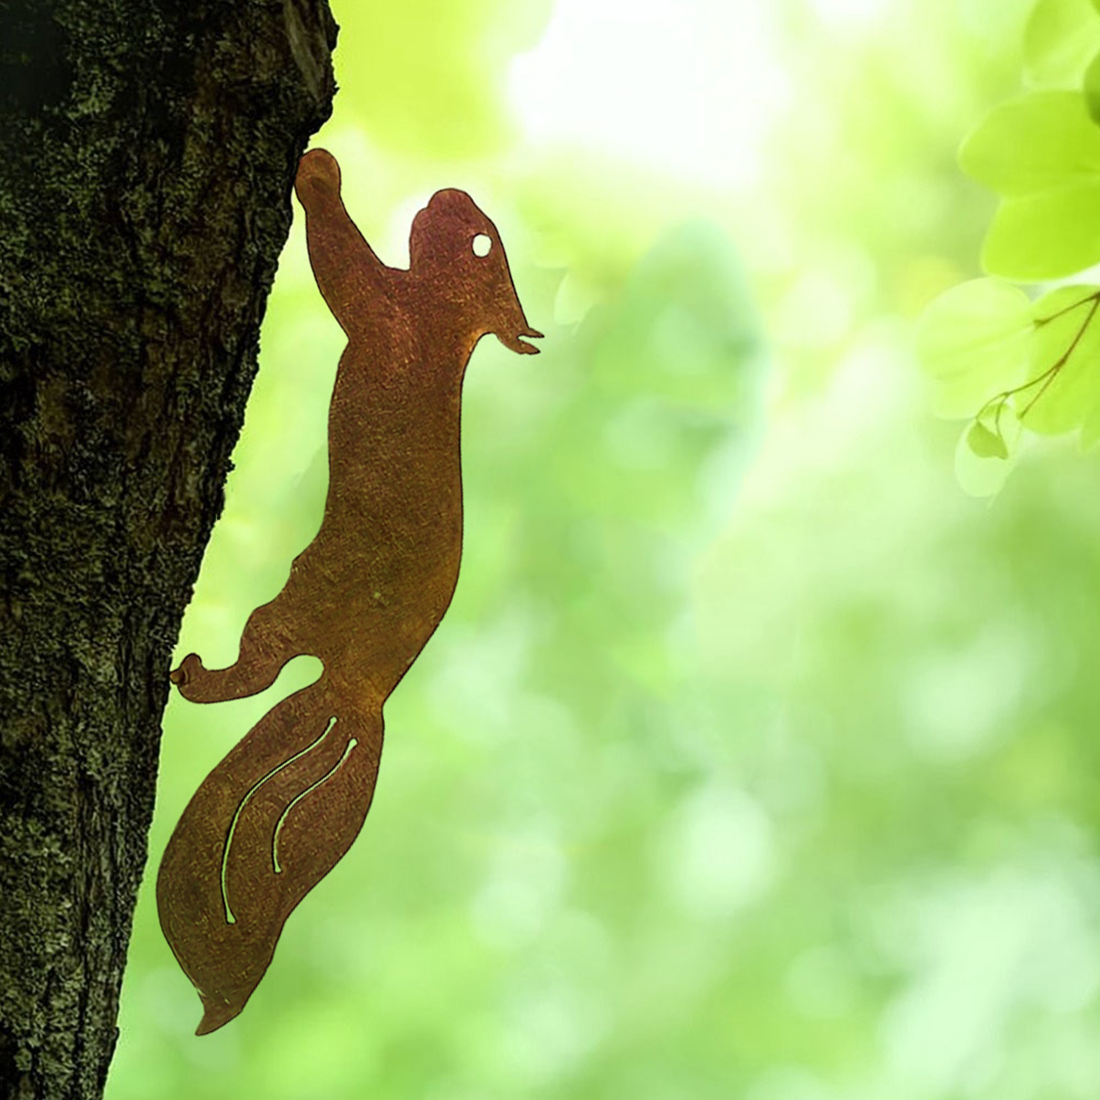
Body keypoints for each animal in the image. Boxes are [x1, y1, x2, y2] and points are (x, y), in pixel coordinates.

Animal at [156, 149, 541, 1035]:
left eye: (479, 243)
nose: (448, 194)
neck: (449, 326)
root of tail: (362, 693)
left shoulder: (389, 313)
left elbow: (343, 265)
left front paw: (319, 175)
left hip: (296, 601)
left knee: (253, 669)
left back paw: (192, 674)